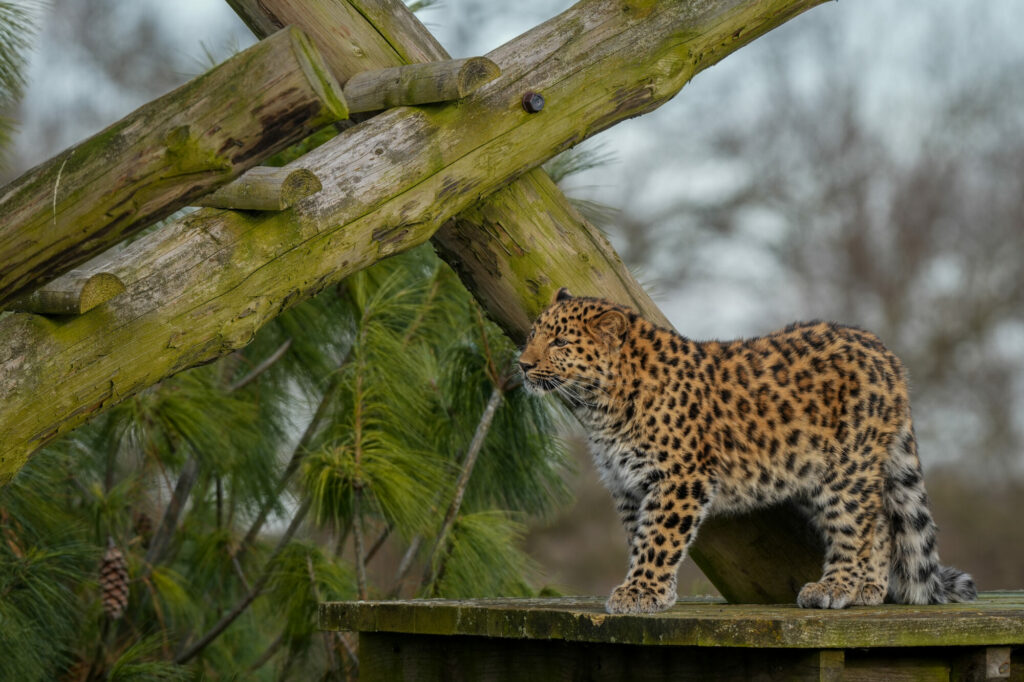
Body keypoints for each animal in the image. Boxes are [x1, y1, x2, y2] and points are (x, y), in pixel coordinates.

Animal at [518, 288, 976, 614]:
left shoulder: (679, 479)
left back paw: (836, 587)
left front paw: (640, 592)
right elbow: (640, 537)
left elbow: (659, 538)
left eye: (560, 342)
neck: (599, 407)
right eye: (532, 335)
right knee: (879, 521)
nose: (522, 364)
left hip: (845, 470)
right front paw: (654, 591)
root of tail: (885, 353)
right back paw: (868, 589)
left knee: (857, 526)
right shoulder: (627, 486)